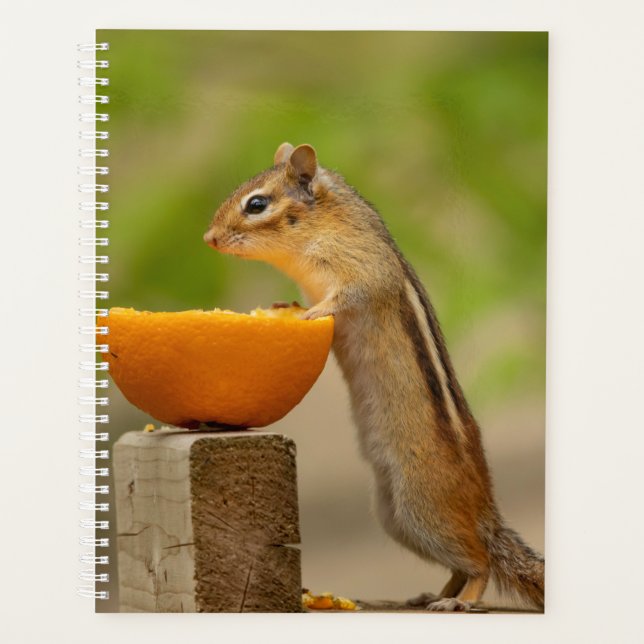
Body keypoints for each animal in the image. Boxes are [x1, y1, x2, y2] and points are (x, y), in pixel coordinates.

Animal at [203, 142, 544, 612]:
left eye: (256, 204)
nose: (209, 238)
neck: (323, 226)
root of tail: (485, 512)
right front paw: (286, 304)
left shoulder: (362, 269)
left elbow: (348, 295)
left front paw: (307, 313)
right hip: (395, 517)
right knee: (460, 563)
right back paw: (431, 595)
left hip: (423, 507)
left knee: (480, 562)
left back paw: (459, 600)